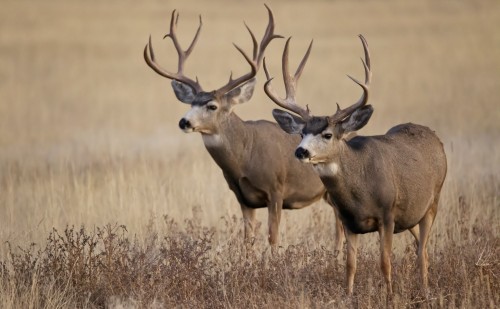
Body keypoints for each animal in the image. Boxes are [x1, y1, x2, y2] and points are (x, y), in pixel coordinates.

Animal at [143, 5, 346, 253]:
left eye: (212, 105)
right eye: (190, 103)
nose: (184, 122)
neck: (245, 155)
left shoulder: (276, 190)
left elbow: (273, 238)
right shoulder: (243, 198)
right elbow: (247, 241)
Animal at [264, 35, 448, 294]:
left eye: (328, 134)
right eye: (301, 133)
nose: (301, 151)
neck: (360, 191)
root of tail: (435, 138)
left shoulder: (387, 214)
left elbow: (385, 261)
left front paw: (390, 295)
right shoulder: (348, 221)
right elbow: (350, 264)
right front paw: (348, 295)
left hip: (433, 201)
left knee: (422, 252)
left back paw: (425, 291)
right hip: (413, 213)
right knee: (423, 250)